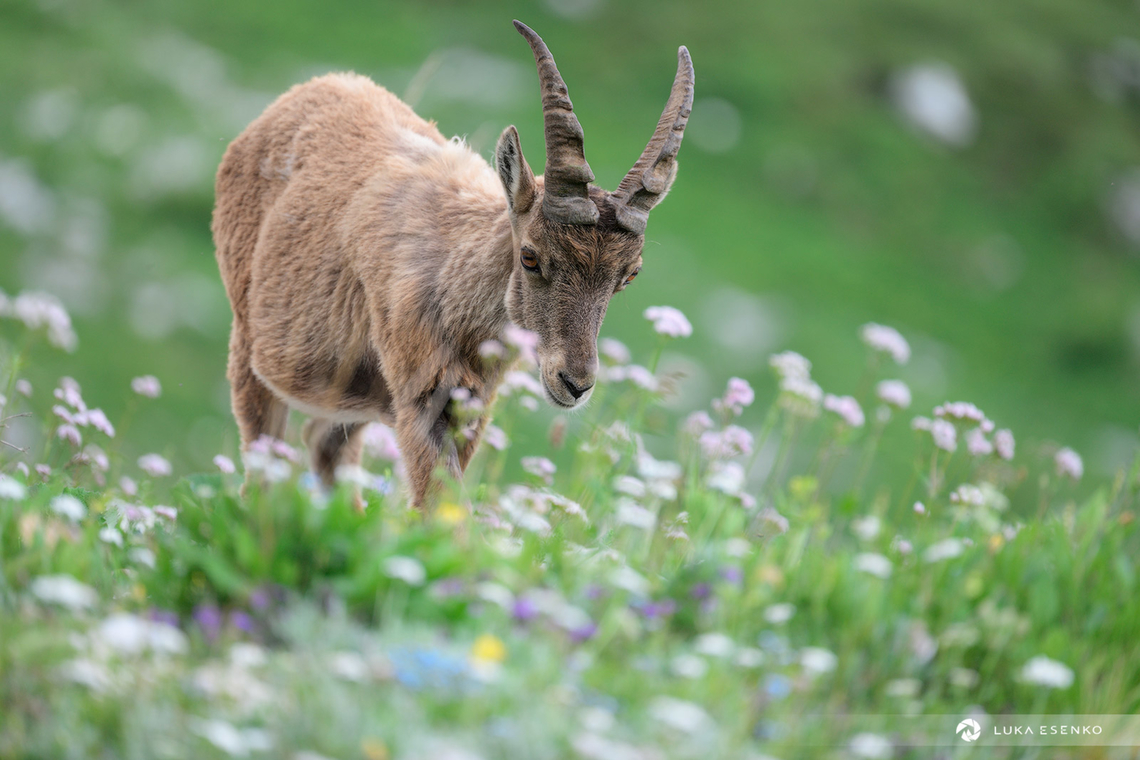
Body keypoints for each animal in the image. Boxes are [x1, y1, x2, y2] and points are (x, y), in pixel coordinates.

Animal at [212, 21, 694, 506]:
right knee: (261, 467)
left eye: (629, 275)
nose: (575, 383)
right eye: (530, 256)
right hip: (249, 346)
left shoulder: (471, 408)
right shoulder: (422, 402)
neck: (454, 283)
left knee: (322, 444)